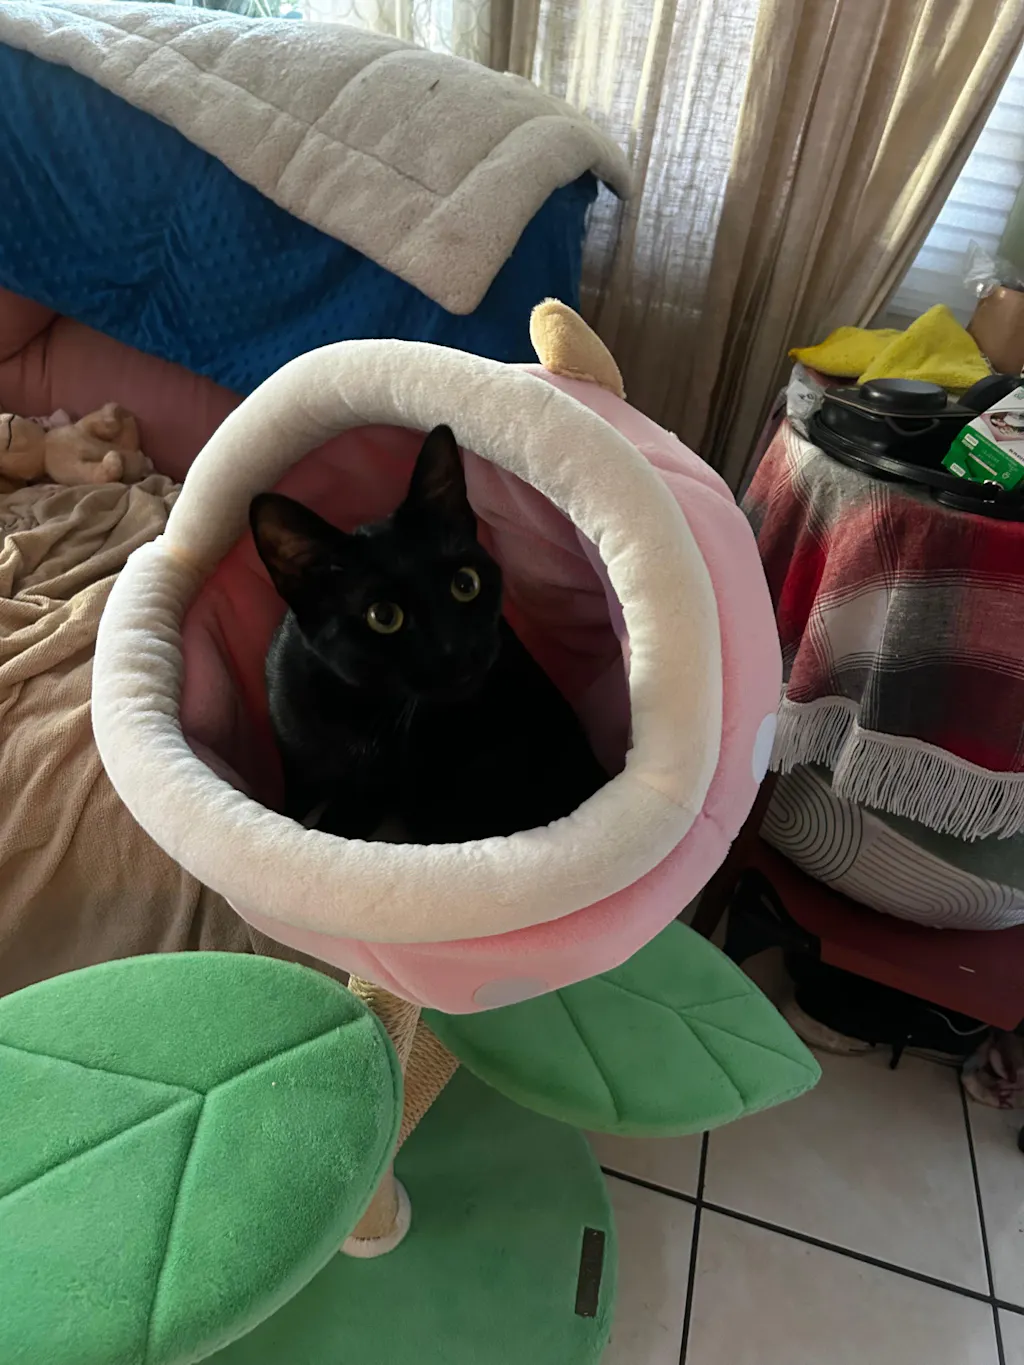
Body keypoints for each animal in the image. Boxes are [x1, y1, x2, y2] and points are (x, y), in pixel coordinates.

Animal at [249, 424, 607, 843]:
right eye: (383, 615)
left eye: (465, 584)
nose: (459, 649)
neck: (357, 707)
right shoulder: (293, 753)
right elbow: (293, 806)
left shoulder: (374, 794)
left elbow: (338, 830)